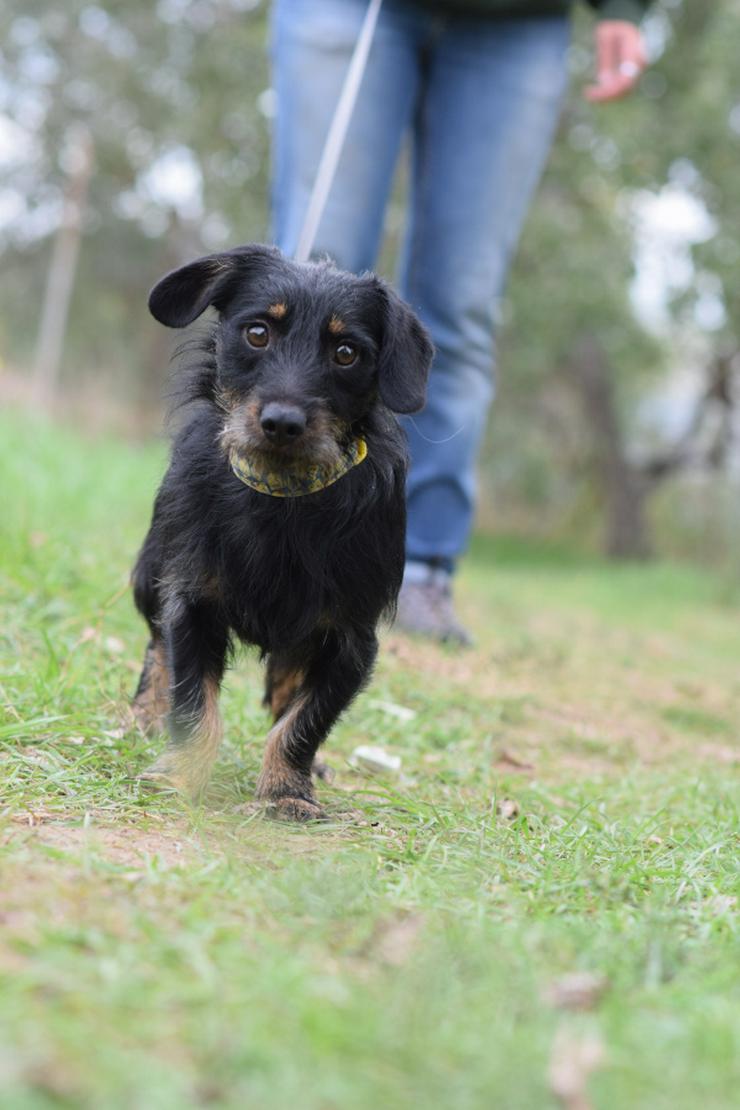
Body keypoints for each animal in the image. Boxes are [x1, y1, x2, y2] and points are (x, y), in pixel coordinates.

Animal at [131, 245, 434, 816]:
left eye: (346, 352)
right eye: (257, 333)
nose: (282, 423)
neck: (282, 494)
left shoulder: (351, 638)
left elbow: (306, 722)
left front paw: (287, 791)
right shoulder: (191, 601)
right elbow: (193, 702)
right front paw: (180, 774)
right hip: (149, 572)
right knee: (156, 644)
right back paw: (144, 714)